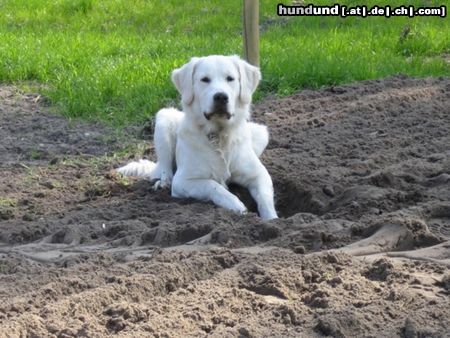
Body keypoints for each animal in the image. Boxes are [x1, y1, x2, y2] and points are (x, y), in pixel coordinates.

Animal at [118, 54, 276, 219]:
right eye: (205, 79)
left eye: (230, 79)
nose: (221, 97)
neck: (218, 136)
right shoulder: (182, 181)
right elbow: (213, 185)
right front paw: (236, 205)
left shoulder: (259, 175)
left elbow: (265, 199)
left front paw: (272, 220)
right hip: (164, 118)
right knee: (165, 169)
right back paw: (163, 183)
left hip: (261, 132)